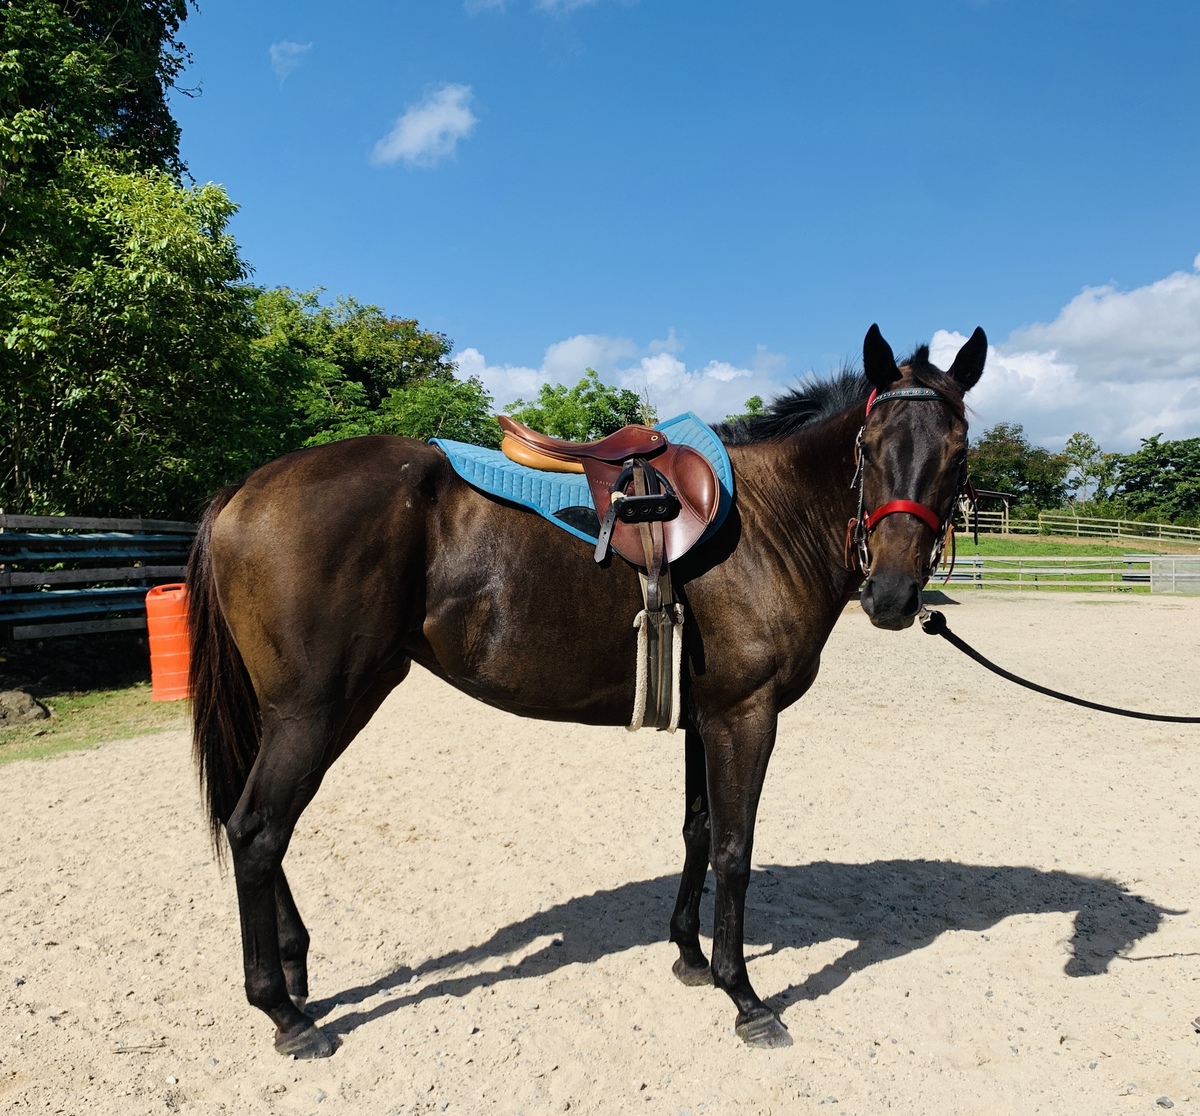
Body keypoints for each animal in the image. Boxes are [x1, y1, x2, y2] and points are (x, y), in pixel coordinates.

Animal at [187, 323, 988, 1057]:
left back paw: (297, 978)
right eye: (868, 447)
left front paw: (689, 955)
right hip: (313, 710)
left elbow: (699, 831)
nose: (891, 596)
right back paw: (283, 1012)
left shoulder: (706, 717)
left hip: (335, 703)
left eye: (958, 454)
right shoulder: (745, 715)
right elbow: (735, 849)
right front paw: (744, 996)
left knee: (265, 828)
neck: (768, 523)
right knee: (256, 831)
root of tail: (244, 489)